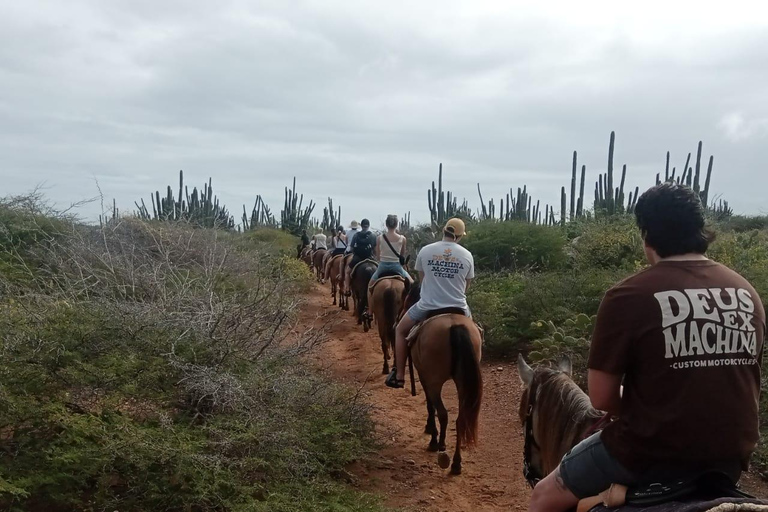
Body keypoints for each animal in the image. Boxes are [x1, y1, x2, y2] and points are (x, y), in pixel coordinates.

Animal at [400, 282, 484, 474]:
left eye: (406, 297)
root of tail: (455, 327)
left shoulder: (424, 375)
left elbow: (430, 406)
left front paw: (430, 430)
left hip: (435, 381)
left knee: (443, 413)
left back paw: (439, 447)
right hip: (463, 383)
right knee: (460, 419)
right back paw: (456, 463)